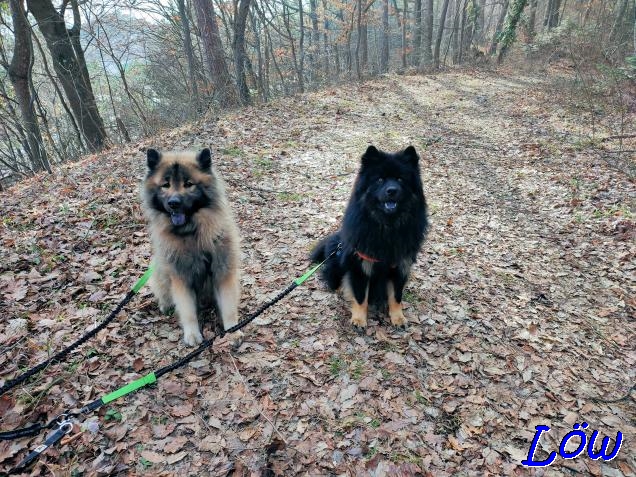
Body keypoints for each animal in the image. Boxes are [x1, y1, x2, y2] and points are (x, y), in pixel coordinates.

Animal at [312, 145, 430, 328]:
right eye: (380, 179)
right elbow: (361, 297)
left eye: (400, 179)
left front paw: (398, 318)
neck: (387, 227)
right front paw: (359, 319)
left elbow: (396, 296)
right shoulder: (360, 265)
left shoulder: (401, 266)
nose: (392, 191)